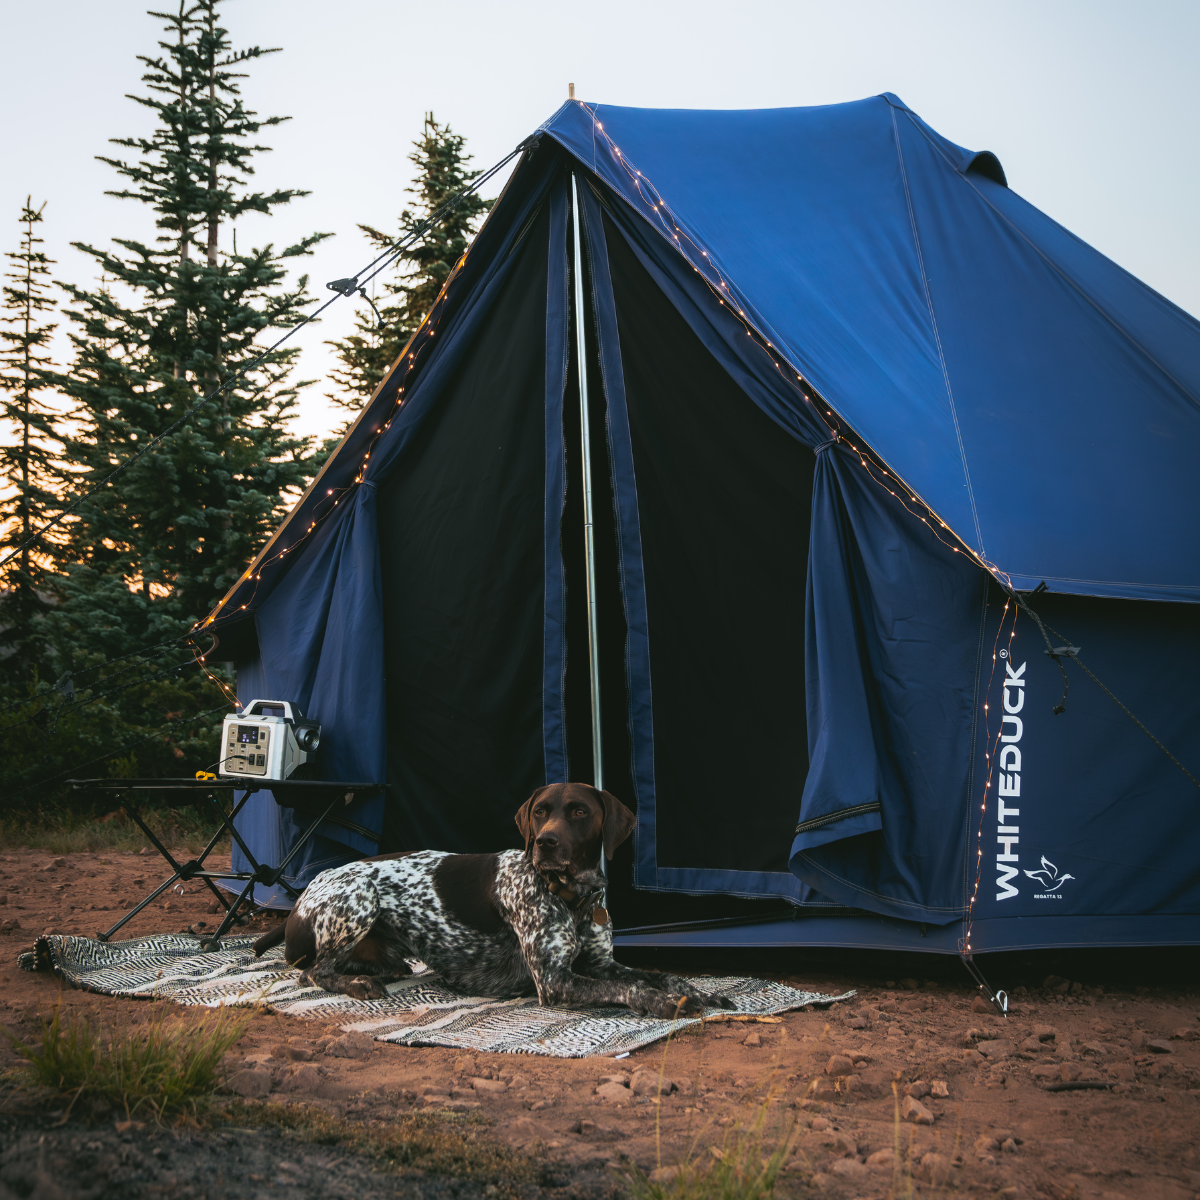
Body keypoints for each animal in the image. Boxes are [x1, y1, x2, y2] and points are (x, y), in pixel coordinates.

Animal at [252, 782, 734, 1017]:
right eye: (540, 811)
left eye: (580, 811)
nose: (546, 843)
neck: (573, 897)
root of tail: (303, 896)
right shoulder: (554, 981)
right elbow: (630, 988)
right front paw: (665, 1003)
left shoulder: (600, 963)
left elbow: (659, 975)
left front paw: (700, 991)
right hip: (358, 896)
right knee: (313, 973)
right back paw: (355, 984)